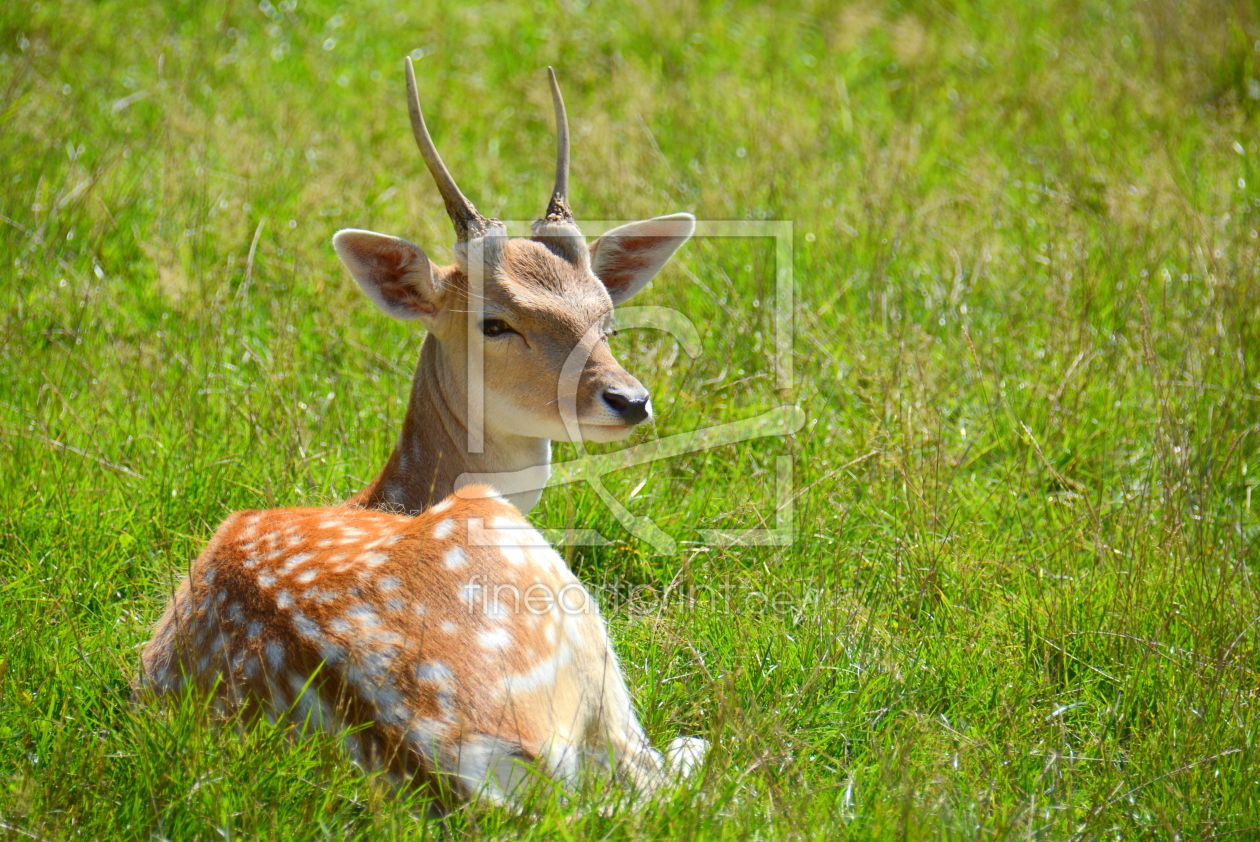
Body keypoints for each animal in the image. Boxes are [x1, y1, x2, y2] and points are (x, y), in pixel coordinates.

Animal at [140, 59, 710, 806]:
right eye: (494, 322)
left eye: (606, 317)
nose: (630, 399)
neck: (387, 497)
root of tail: (459, 759)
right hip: (556, 602)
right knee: (647, 775)